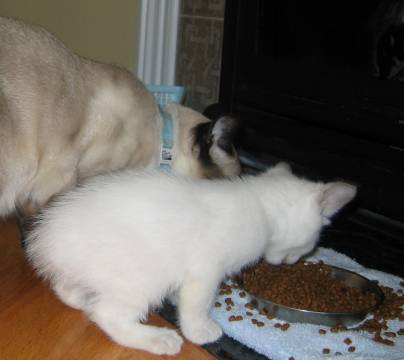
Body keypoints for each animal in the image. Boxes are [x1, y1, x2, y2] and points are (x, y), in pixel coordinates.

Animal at [25, 165, 356, 356]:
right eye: (311, 245)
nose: (289, 263)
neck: (260, 204)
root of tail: (47, 238)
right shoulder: (206, 269)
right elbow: (197, 304)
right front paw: (200, 331)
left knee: (68, 291)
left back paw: (82, 298)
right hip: (140, 275)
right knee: (108, 315)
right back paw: (156, 339)